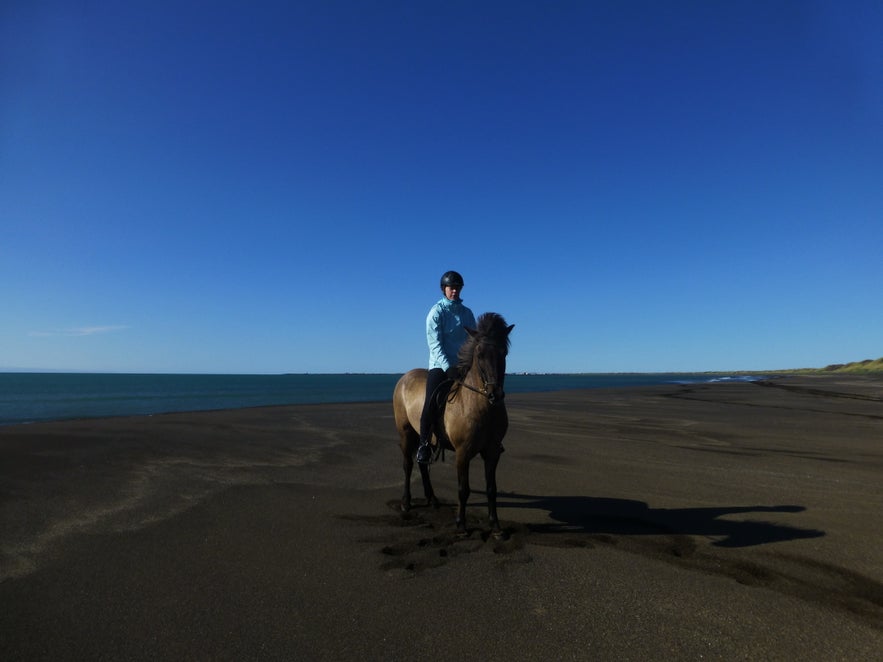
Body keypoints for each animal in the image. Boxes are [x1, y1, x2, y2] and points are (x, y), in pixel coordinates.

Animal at [392, 314, 512, 536]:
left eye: (504, 352)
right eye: (480, 354)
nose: (495, 394)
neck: (479, 405)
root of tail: (405, 377)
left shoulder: (492, 452)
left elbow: (492, 489)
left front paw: (496, 526)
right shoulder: (463, 453)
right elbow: (463, 489)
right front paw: (461, 525)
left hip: (425, 437)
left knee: (422, 464)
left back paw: (432, 499)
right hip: (406, 433)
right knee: (408, 465)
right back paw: (406, 502)